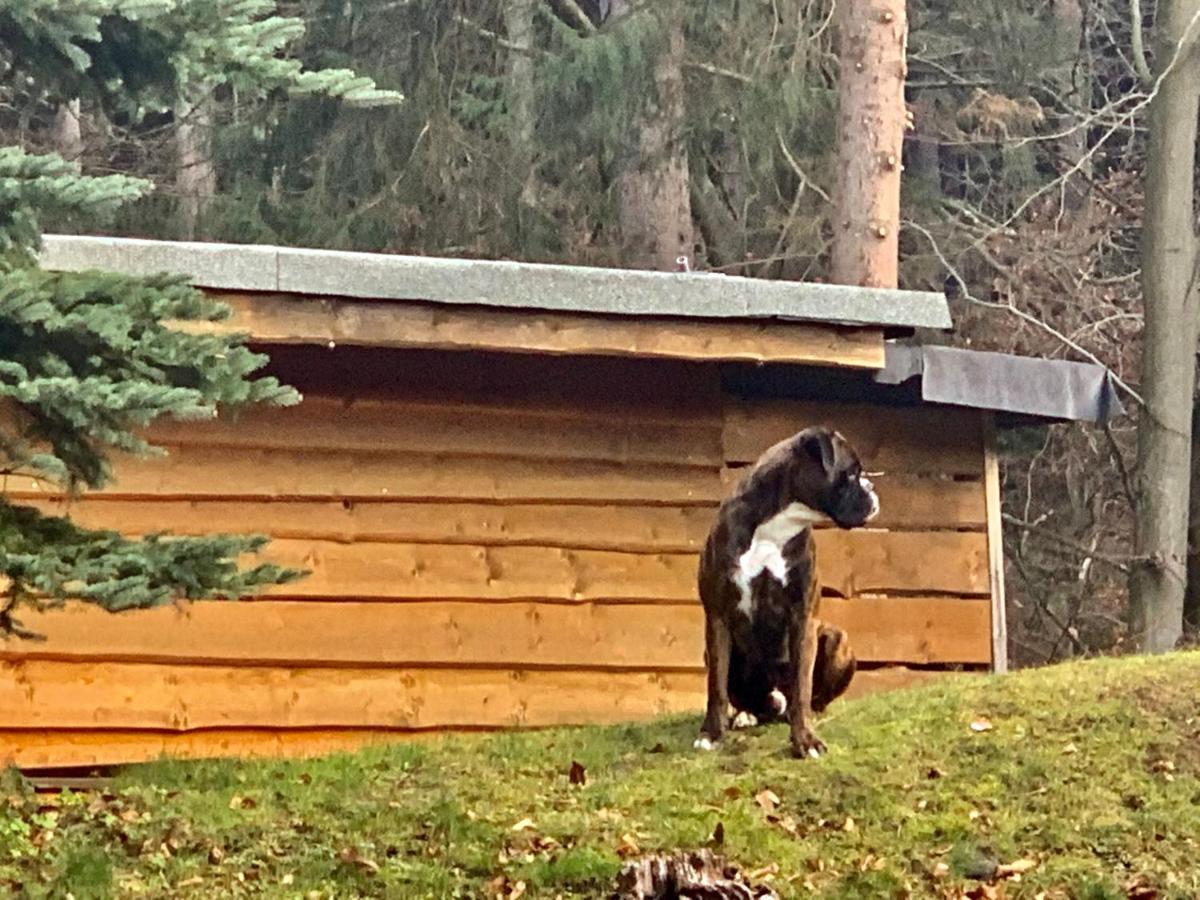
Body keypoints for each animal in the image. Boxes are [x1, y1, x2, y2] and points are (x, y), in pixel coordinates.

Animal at [696, 429, 873, 763]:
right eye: (851, 473)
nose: (871, 489)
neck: (774, 527)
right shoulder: (717, 616)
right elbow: (717, 687)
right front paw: (711, 734)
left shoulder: (802, 617)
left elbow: (802, 685)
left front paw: (805, 740)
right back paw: (745, 715)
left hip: (836, 639)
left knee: (807, 697)